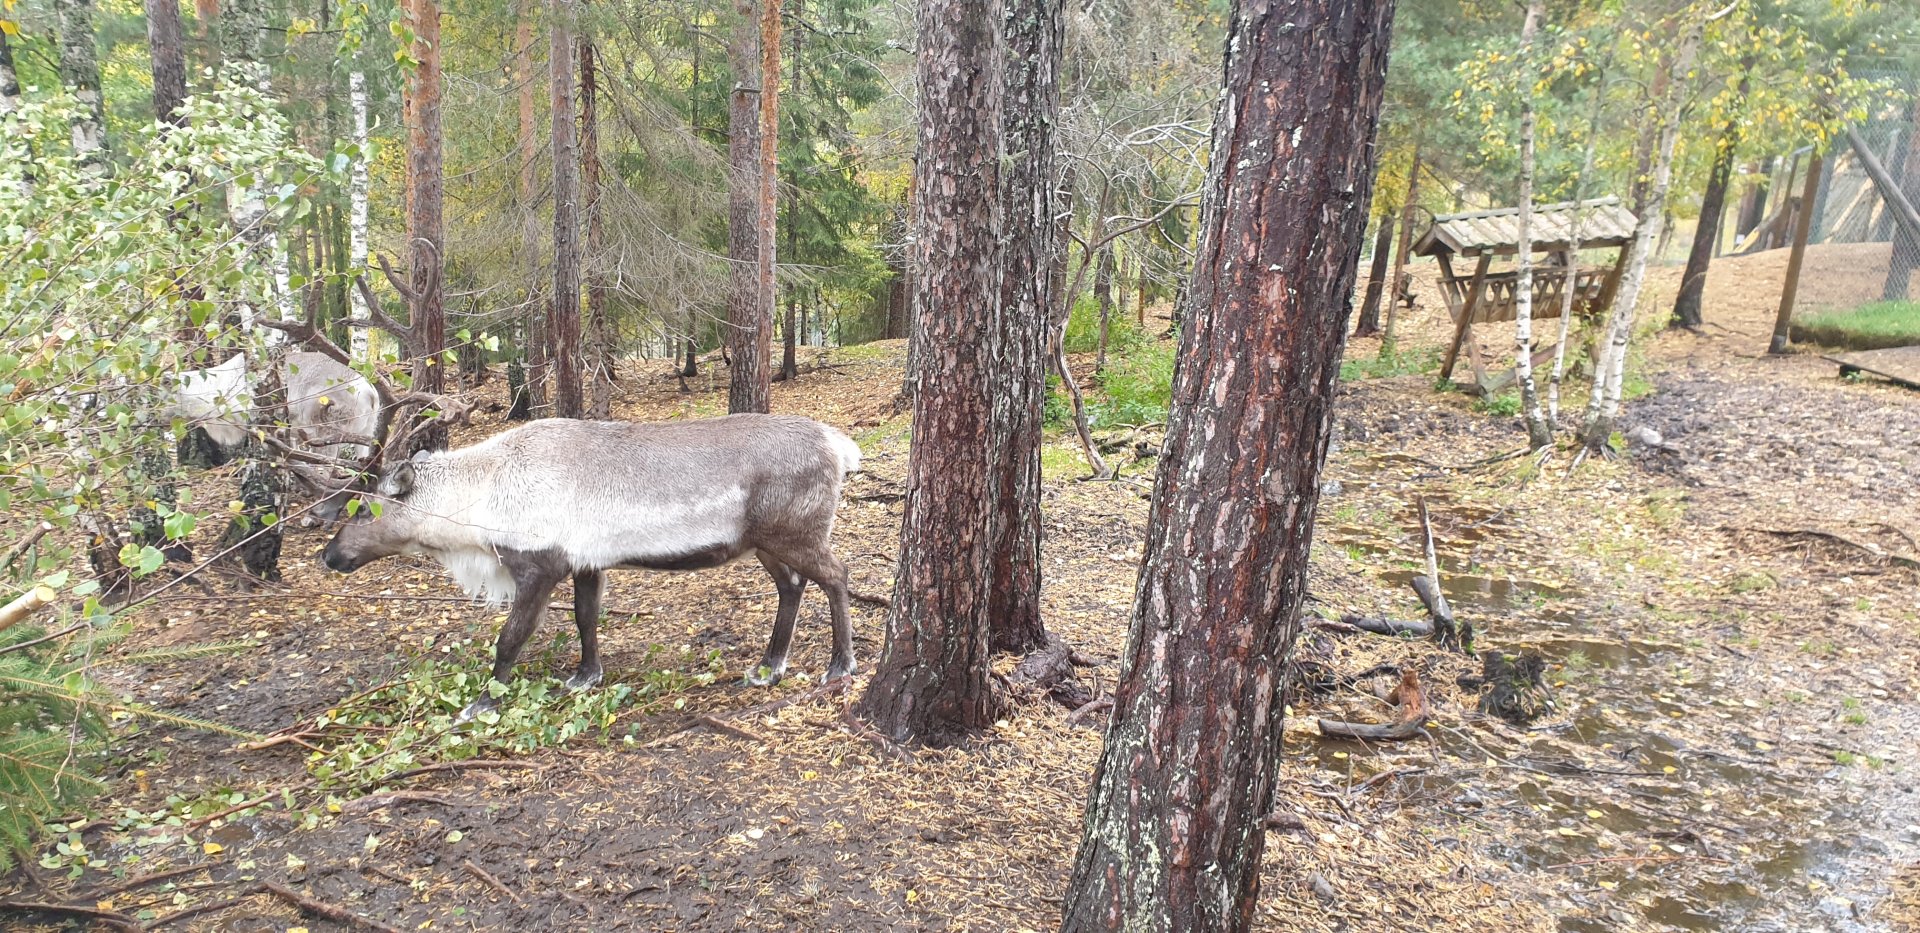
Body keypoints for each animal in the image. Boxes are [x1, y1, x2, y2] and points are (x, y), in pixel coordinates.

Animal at [319, 414, 864, 723]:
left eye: (363, 510)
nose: (330, 555)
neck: (479, 496)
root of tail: (841, 446)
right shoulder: (586, 564)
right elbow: (586, 619)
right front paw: (586, 676)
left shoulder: (539, 565)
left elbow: (511, 638)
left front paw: (482, 704)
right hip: (765, 543)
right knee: (792, 586)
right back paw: (769, 666)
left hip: (795, 533)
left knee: (837, 576)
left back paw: (840, 664)